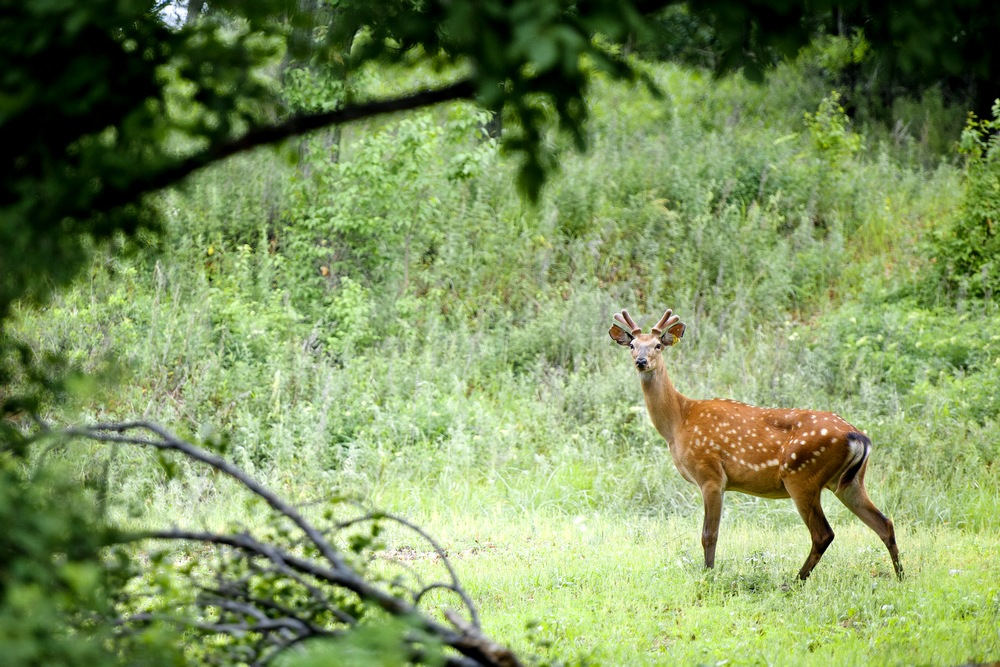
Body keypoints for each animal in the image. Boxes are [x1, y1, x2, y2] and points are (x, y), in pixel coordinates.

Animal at [604, 308, 904, 580]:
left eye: (657, 345)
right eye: (632, 345)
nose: (641, 361)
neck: (679, 422)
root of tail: (859, 437)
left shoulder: (711, 474)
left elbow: (709, 534)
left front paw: (708, 576)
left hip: (802, 475)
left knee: (823, 534)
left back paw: (793, 582)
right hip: (849, 482)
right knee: (884, 524)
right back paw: (900, 577)